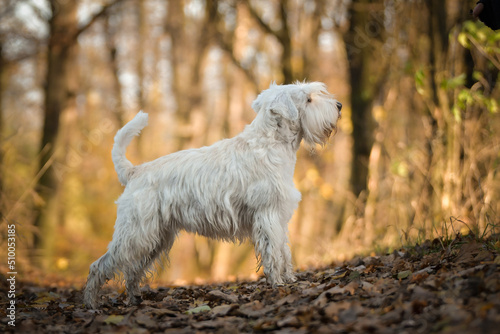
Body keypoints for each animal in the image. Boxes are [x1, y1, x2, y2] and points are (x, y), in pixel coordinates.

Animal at [84, 81, 342, 308]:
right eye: (308, 99)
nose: (339, 105)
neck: (271, 144)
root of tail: (134, 171)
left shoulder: (279, 217)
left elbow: (284, 250)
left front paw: (289, 279)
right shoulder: (267, 214)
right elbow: (273, 252)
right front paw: (278, 283)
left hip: (156, 237)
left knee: (132, 270)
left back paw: (134, 298)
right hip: (136, 233)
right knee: (100, 266)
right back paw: (91, 303)